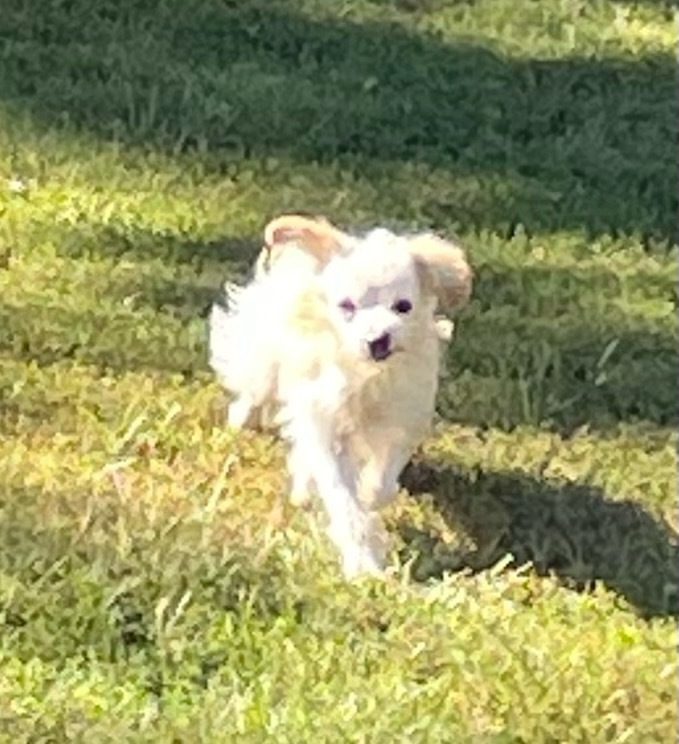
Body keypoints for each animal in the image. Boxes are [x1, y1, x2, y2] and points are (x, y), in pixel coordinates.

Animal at [210, 214, 470, 576]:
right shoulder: (324, 418)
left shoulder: (401, 418)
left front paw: (371, 494)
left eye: (403, 306)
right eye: (347, 306)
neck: (366, 376)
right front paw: (361, 558)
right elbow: (341, 493)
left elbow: (380, 481)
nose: (378, 339)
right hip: (265, 361)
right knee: (255, 389)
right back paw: (242, 419)